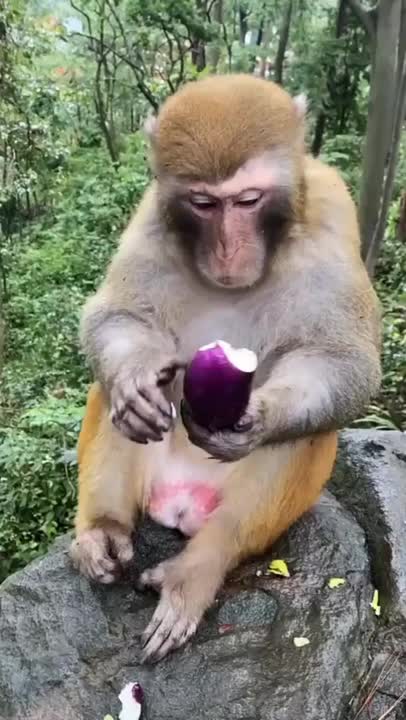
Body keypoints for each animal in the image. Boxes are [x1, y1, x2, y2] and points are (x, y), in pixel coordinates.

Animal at [70, 74, 381, 663]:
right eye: (203, 203)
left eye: (248, 200)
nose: (228, 249)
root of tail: (180, 504)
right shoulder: (151, 214)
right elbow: (118, 316)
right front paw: (136, 382)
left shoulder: (333, 210)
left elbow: (343, 359)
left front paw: (257, 418)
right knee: (109, 390)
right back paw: (103, 529)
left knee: (304, 432)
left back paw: (198, 568)